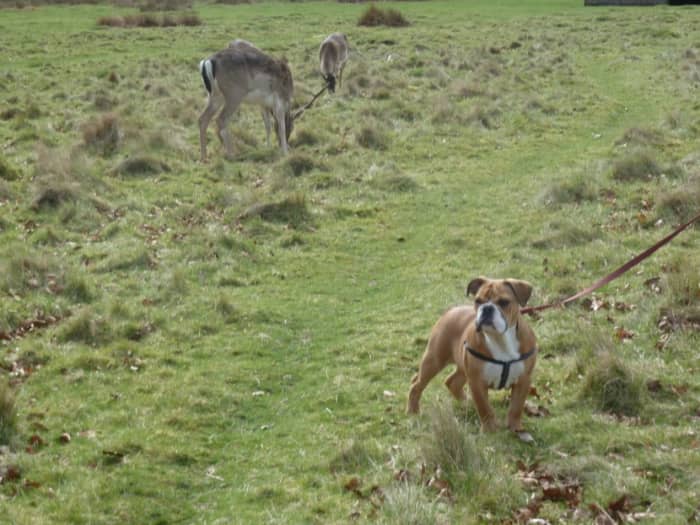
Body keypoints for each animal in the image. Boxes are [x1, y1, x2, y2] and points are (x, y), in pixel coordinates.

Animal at [408, 276, 540, 440]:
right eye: (478, 300)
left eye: (504, 302)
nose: (487, 308)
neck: (500, 339)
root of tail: (451, 311)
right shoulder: (477, 381)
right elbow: (484, 407)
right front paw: (490, 429)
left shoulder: (523, 380)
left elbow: (516, 407)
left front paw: (516, 428)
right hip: (434, 360)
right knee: (416, 385)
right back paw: (413, 412)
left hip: (462, 366)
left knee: (452, 382)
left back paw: (467, 404)